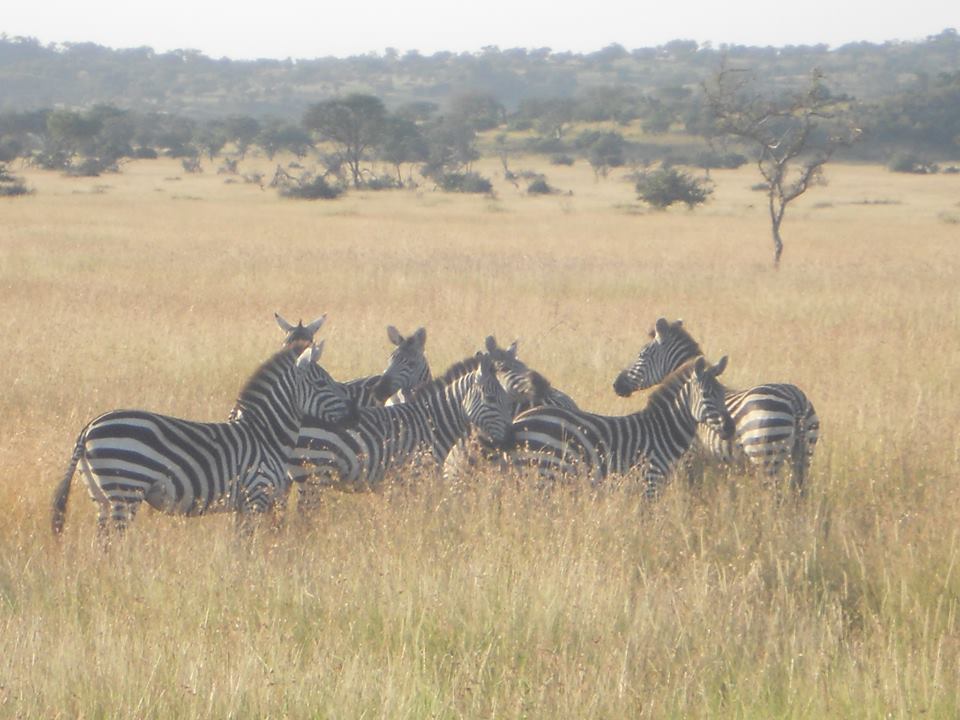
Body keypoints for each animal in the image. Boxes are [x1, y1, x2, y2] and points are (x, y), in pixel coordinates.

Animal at [52, 344, 352, 536]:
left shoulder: (243, 503)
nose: (355, 413)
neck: (267, 435)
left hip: (101, 496)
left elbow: (238, 546)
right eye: (322, 384)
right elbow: (248, 545)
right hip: (125, 489)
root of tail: (89, 427)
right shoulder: (256, 495)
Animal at [294, 350, 512, 498]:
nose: (509, 442)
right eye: (491, 399)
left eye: (507, 400)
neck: (432, 424)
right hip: (315, 473)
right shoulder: (414, 477)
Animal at [506, 354, 732, 496]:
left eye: (723, 394)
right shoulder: (651, 479)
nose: (730, 428)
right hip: (545, 471)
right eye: (706, 394)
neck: (662, 430)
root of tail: (518, 420)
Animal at [616, 318, 816, 492]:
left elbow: (693, 486)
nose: (616, 385)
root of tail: (795, 399)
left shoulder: (691, 455)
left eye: (641, 355)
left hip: (765, 453)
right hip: (803, 454)